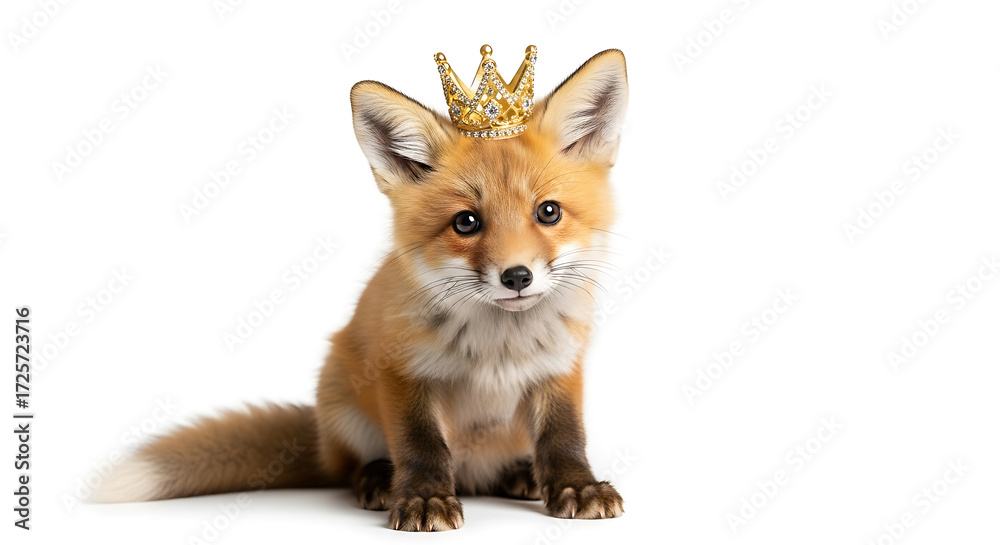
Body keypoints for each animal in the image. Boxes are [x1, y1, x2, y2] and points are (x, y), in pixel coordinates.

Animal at [95, 48, 630, 532]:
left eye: (548, 212)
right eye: (466, 222)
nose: (517, 276)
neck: (499, 348)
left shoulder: (560, 369)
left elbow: (564, 439)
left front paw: (576, 487)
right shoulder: (402, 372)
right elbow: (421, 446)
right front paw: (423, 499)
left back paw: (521, 475)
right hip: (340, 394)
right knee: (355, 466)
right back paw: (377, 480)